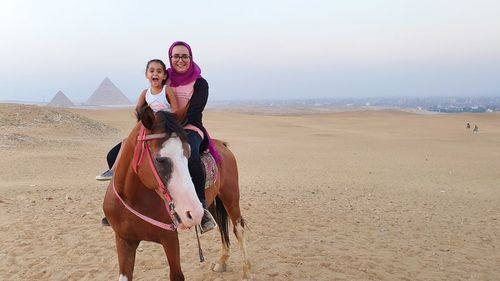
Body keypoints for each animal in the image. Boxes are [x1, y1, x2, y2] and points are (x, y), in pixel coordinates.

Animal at [102, 107, 250, 280]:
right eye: (160, 160)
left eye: (188, 155)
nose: (194, 213)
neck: (132, 199)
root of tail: (223, 146)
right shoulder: (124, 240)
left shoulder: (170, 239)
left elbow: (177, 274)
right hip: (214, 202)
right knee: (221, 225)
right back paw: (222, 261)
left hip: (230, 196)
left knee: (238, 228)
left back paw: (247, 271)